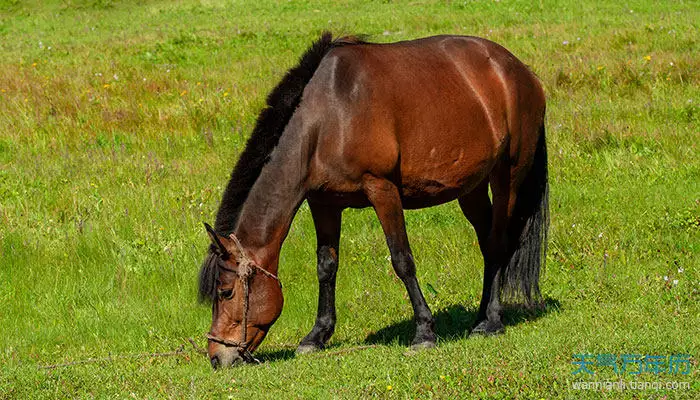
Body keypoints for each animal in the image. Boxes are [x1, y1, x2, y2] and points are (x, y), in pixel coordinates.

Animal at [197, 31, 548, 368]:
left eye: (225, 292)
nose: (216, 357)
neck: (328, 116)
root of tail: (520, 71)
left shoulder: (383, 190)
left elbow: (402, 260)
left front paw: (424, 332)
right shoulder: (324, 203)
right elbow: (326, 266)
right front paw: (316, 336)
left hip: (508, 176)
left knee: (499, 243)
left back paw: (492, 321)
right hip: (470, 188)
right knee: (488, 244)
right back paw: (480, 317)